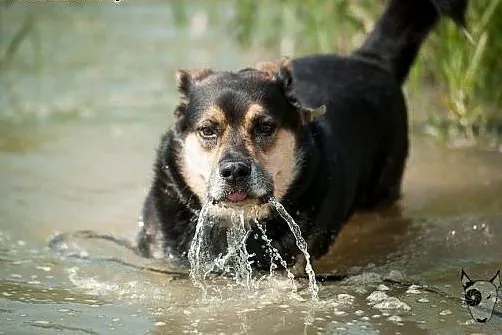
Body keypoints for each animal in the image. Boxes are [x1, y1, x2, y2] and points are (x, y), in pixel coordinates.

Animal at [135, 0, 468, 270]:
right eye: (207, 130)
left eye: (265, 126)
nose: (234, 171)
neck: (236, 222)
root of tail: (369, 60)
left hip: (382, 188)